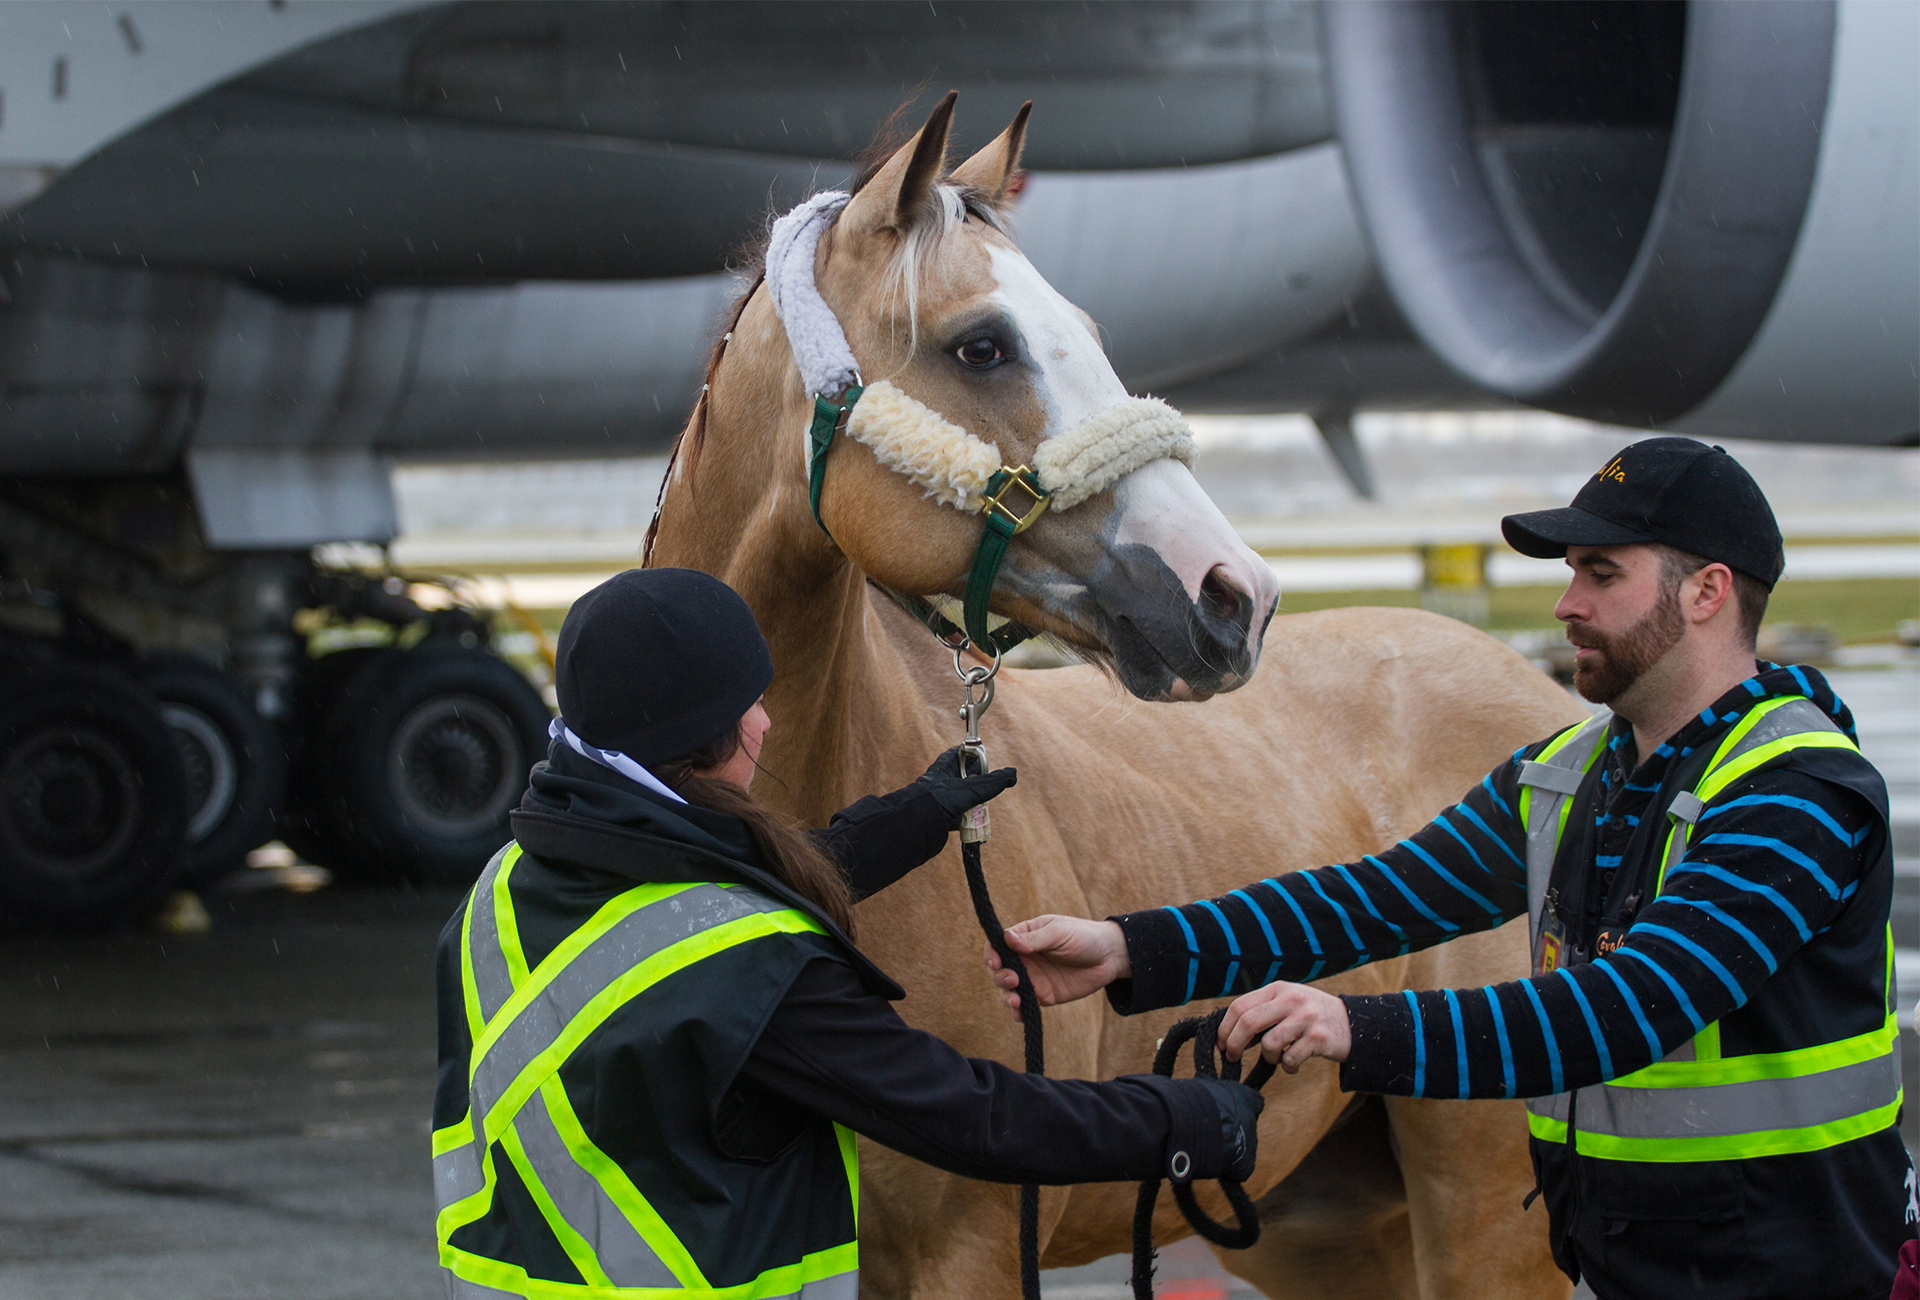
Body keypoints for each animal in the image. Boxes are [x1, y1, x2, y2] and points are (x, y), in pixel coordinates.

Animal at [645, 94, 1581, 1300]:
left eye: (1088, 329)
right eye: (982, 344)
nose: (1235, 596)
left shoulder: (967, 1251)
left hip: (1484, 1226)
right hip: (1331, 1232)